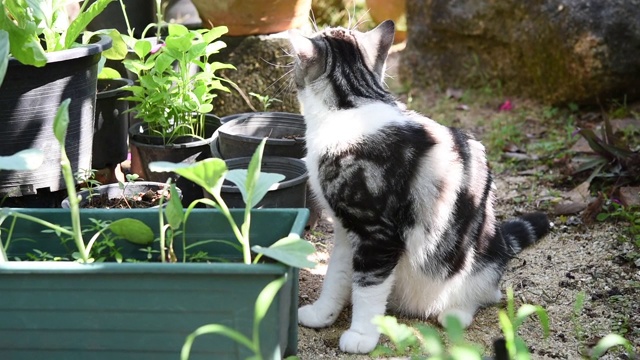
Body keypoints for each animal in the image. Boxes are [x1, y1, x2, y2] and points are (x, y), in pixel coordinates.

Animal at [288, 20, 552, 354]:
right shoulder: (346, 232)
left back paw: (454, 313)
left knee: (486, 294)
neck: (353, 105)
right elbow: (335, 274)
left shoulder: (377, 235)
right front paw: (323, 313)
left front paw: (362, 334)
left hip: (481, 257)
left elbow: (368, 286)